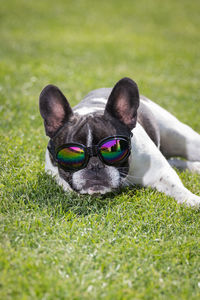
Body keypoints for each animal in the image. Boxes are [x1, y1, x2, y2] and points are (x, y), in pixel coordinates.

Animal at [38, 77, 200, 207]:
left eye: (114, 149)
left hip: (187, 140)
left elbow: (175, 187)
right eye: (71, 154)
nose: (95, 165)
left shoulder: (159, 171)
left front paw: (191, 200)